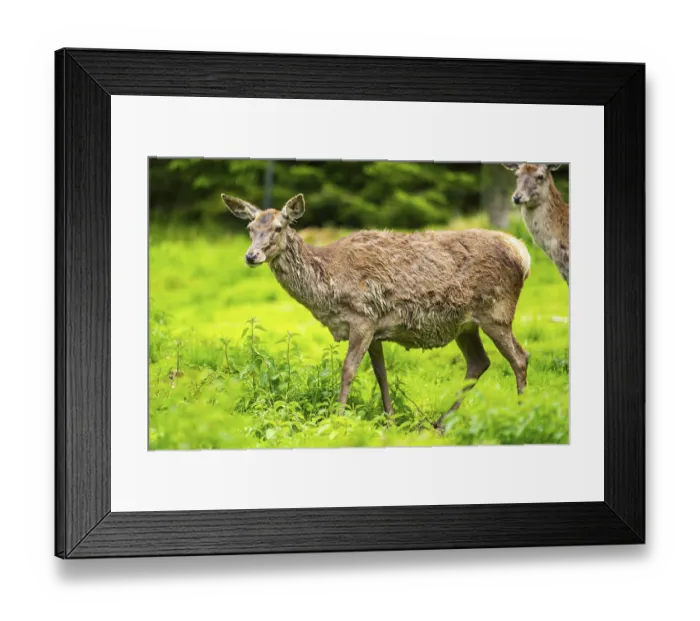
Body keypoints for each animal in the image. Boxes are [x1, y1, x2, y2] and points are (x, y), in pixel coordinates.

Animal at [222, 192, 532, 430]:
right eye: (250, 229)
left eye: (278, 227)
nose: (251, 256)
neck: (328, 286)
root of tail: (523, 254)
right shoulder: (376, 327)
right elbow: (381, 373)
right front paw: (390, 420)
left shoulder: (362, 319)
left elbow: (348, 370)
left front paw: (338, 419)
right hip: (465, 324)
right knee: (479, 362)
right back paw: (440, 422)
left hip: (497, 312)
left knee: (520, 358)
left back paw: (520, 413)